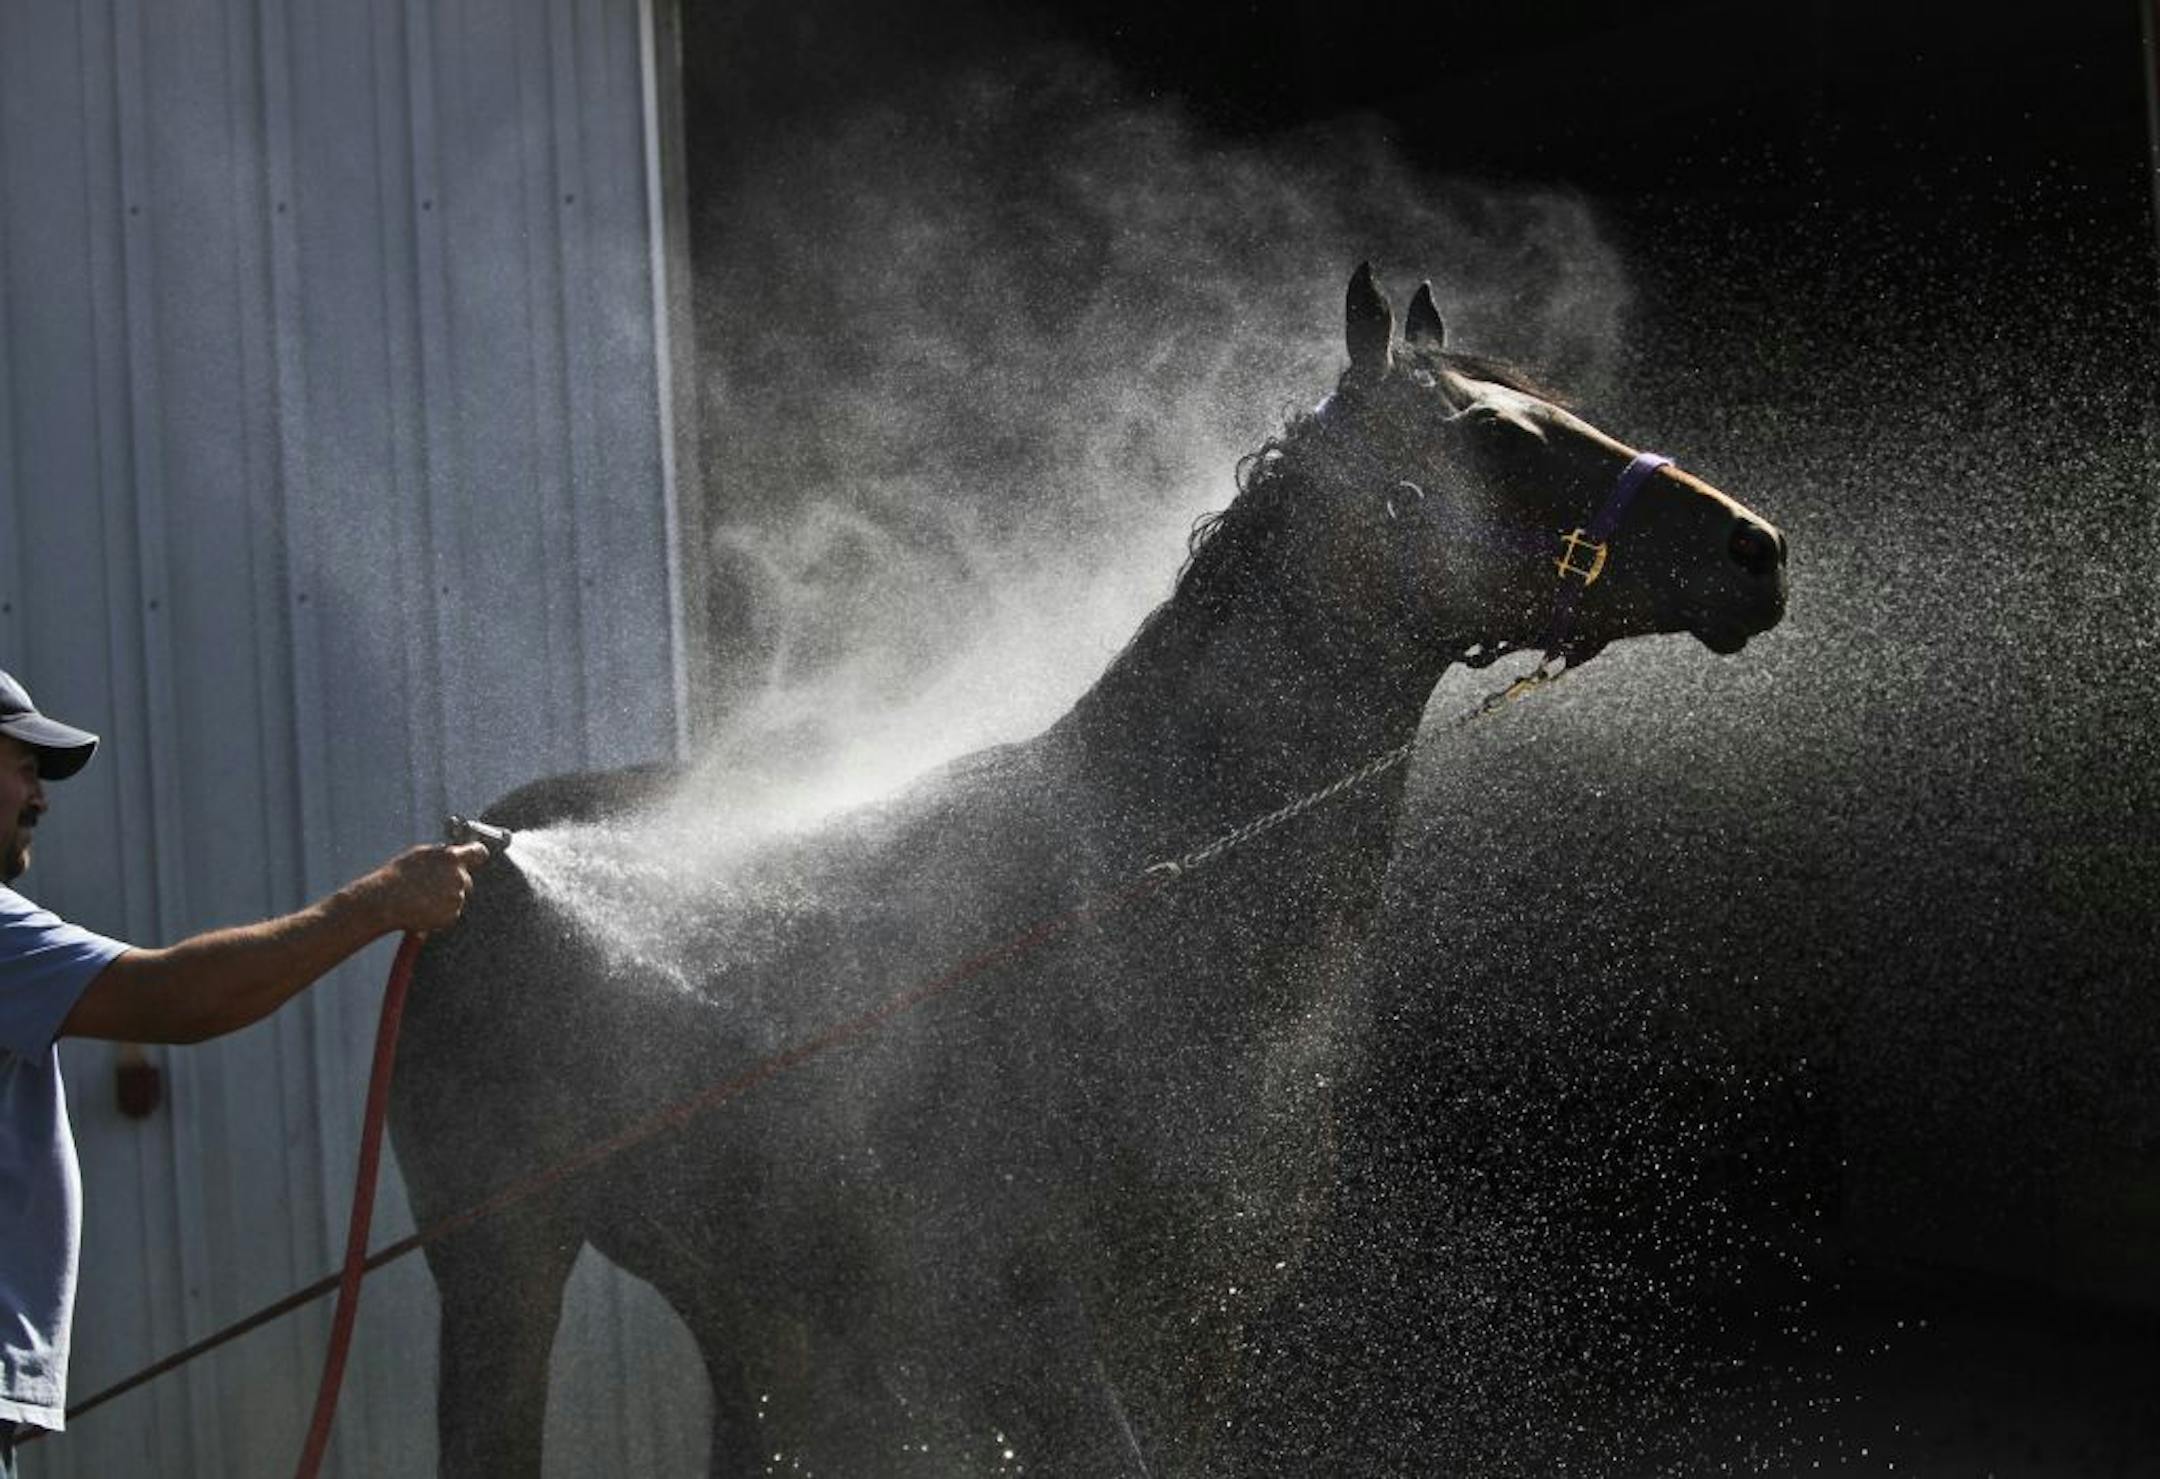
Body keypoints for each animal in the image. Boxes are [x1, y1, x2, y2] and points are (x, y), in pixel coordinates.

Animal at [387, 264, 1788, 1477]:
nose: (1757, 552)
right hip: (503, 1261)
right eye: (1497, 435)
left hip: (751, 1307)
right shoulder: (1028, 1332)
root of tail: (476, 848)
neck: (1135, 894)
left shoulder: (1192, 1336)